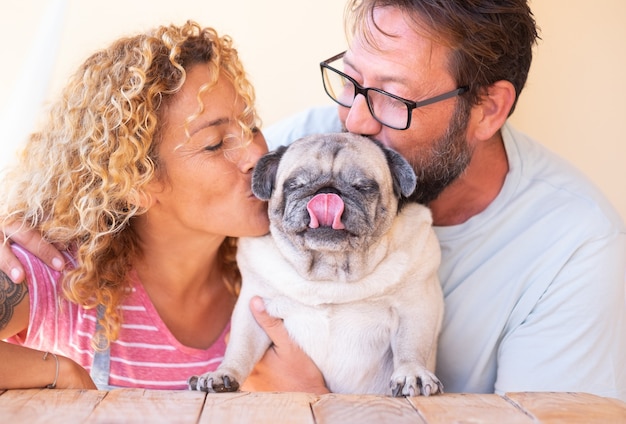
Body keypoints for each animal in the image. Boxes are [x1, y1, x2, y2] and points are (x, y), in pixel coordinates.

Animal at [188, 133, 442, 398]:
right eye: (296, 185)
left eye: (363, 187)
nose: (328, 191)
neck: (329, 270)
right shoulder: (252, 307)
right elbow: (241, 347)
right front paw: (223, 373)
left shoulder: (414, 307)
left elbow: (411, 346)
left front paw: (412, 373)